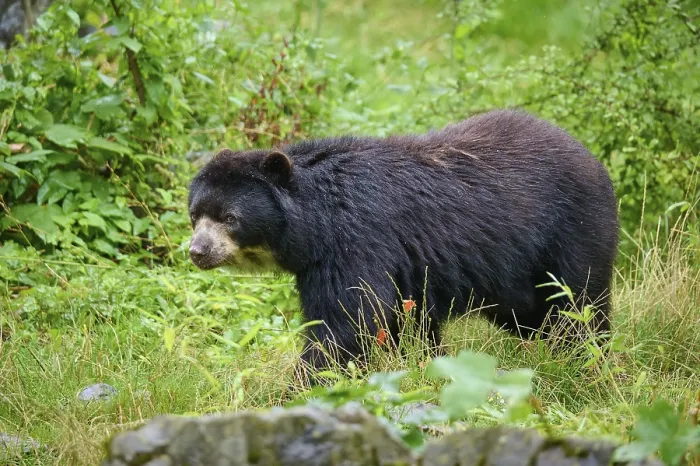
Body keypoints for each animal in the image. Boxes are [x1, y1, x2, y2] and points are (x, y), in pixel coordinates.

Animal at [187, 109, 619, 378]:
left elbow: (346, 322)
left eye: (229, 218)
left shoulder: (357, 241)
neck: (316, 225)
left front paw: (303, 387)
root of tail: (592, 158)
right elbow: (404, 324)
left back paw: (588, 360)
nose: (197, 251)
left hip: (571, 230)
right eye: (195, 214)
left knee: (577, 304)